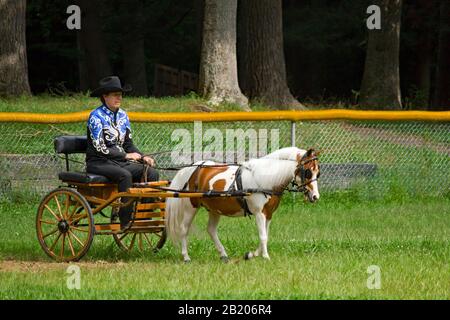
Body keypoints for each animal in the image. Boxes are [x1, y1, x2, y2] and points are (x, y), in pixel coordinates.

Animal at [165, 148, 320, 262]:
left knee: (211, 230)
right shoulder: (259, 213)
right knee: (183, 229)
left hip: (215, 209)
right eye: (307, 172)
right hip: (190, 206)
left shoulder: (268, 214)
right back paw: (186, 256)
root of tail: (193, 168)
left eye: (317, 173)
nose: (315, 196)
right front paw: (265, 257)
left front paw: (252, 254)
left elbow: (265, 235)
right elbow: (263, 236)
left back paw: (223, 255)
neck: (265, 178)